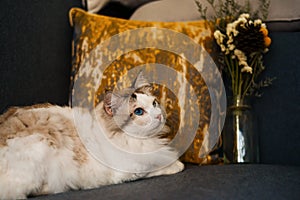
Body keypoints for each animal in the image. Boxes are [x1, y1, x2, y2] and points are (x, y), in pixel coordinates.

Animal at [0, 71, 183, 198]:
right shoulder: (130, 170)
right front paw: (178, 165)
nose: (159, 116)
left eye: (154, 103)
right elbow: (161, 166)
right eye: (139, 111)